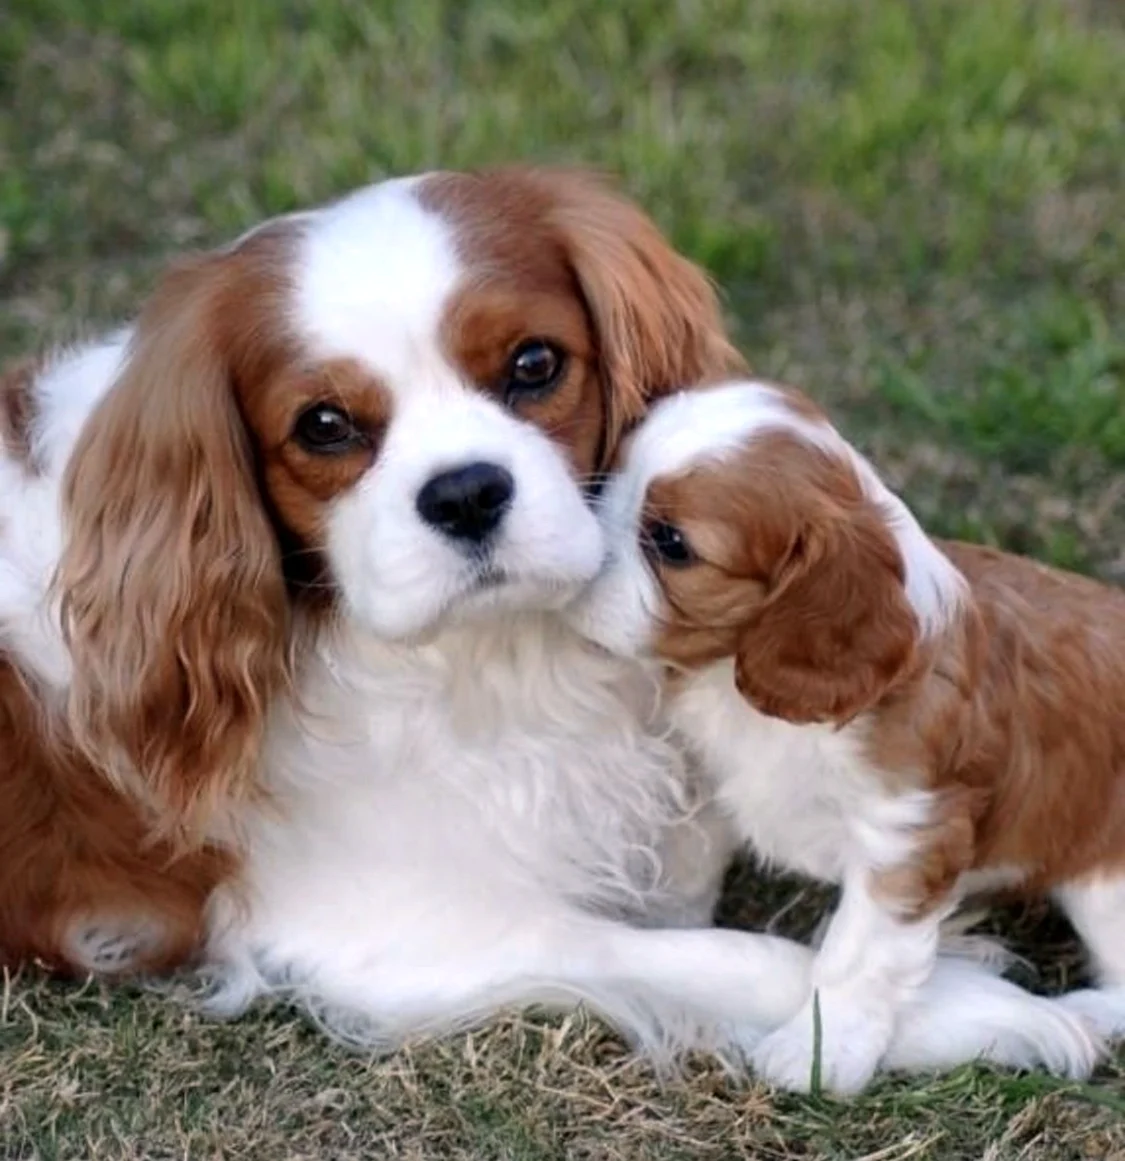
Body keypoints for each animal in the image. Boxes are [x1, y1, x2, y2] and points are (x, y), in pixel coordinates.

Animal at [571, 378, 1123, 1086]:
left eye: (671, 542)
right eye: (610, 479)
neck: (736, 686)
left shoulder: (907, 839)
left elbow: (855, 960)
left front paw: (820, 1051)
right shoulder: (717, 783)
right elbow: (689, 870)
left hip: (1107, 885)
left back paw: (1085, 1013)